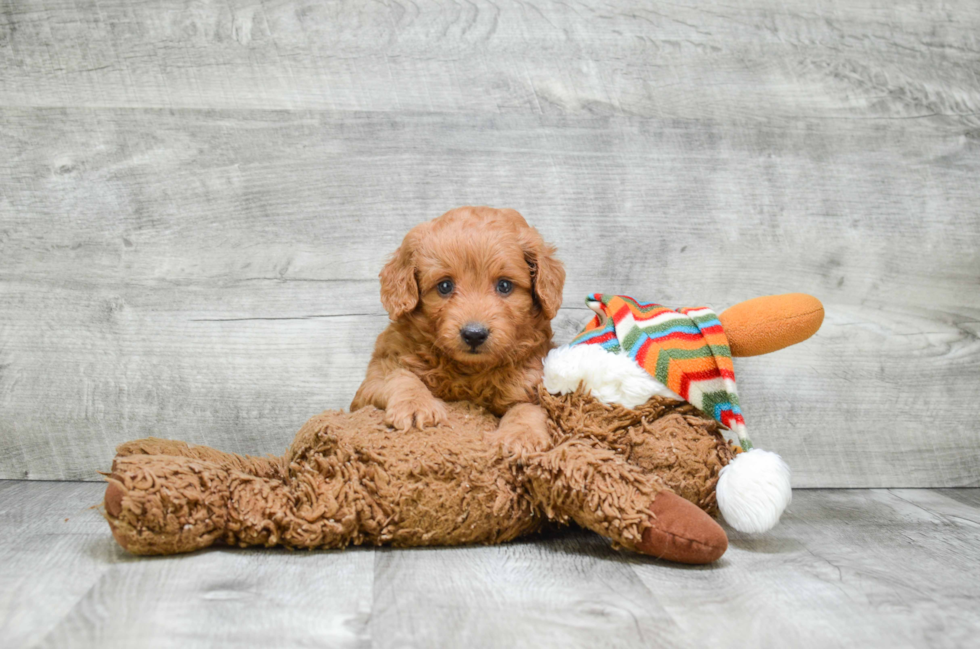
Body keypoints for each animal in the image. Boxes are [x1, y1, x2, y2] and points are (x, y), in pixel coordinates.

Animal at [352, 205, 568, 448]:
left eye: (504, 285)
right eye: (445, 286)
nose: (474, 335)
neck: (469, 371)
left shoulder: (533, 385)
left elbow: (527, 408)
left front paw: (521, 435)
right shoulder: (371, 381)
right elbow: (399, 376)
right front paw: (416, 405)